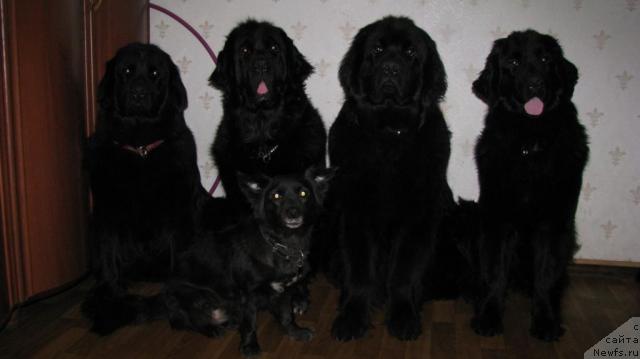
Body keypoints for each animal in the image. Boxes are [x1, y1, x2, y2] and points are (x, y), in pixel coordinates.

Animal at [82, 43, 206, 336]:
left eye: (155, 74)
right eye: (126, 71)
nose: (138, 93)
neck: (140, 148)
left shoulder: (180, 210)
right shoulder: (106, 211)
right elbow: (108, 256)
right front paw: (109, 295)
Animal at [162, 168, 336, 358]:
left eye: (303, 194)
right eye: (275, 196)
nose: (293, 212)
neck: (282, 244)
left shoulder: (284, 291)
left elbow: (286, 315)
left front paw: (295, 332)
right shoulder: (247, 295)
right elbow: (249, 323)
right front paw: (249, 346)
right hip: (196, 296)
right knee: (190, 321)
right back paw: (211, 329)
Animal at [324, 17, 456, 344]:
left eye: (410, 53)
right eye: (377, 50)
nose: (391, 69)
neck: (388, 131)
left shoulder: (418, 216)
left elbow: (404, 272)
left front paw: (403, 315)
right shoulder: (356, 211)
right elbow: (359, 269)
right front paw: (351, 317)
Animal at [460, 29, 592, 342]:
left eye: (545, 59)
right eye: (513, 63)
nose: (535, 84)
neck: (530, 143)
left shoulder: (555, 222)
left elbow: (546, 275)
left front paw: (546, 322)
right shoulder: (496, 218)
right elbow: (495, 272)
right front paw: (488, 316)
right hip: (472, 215)